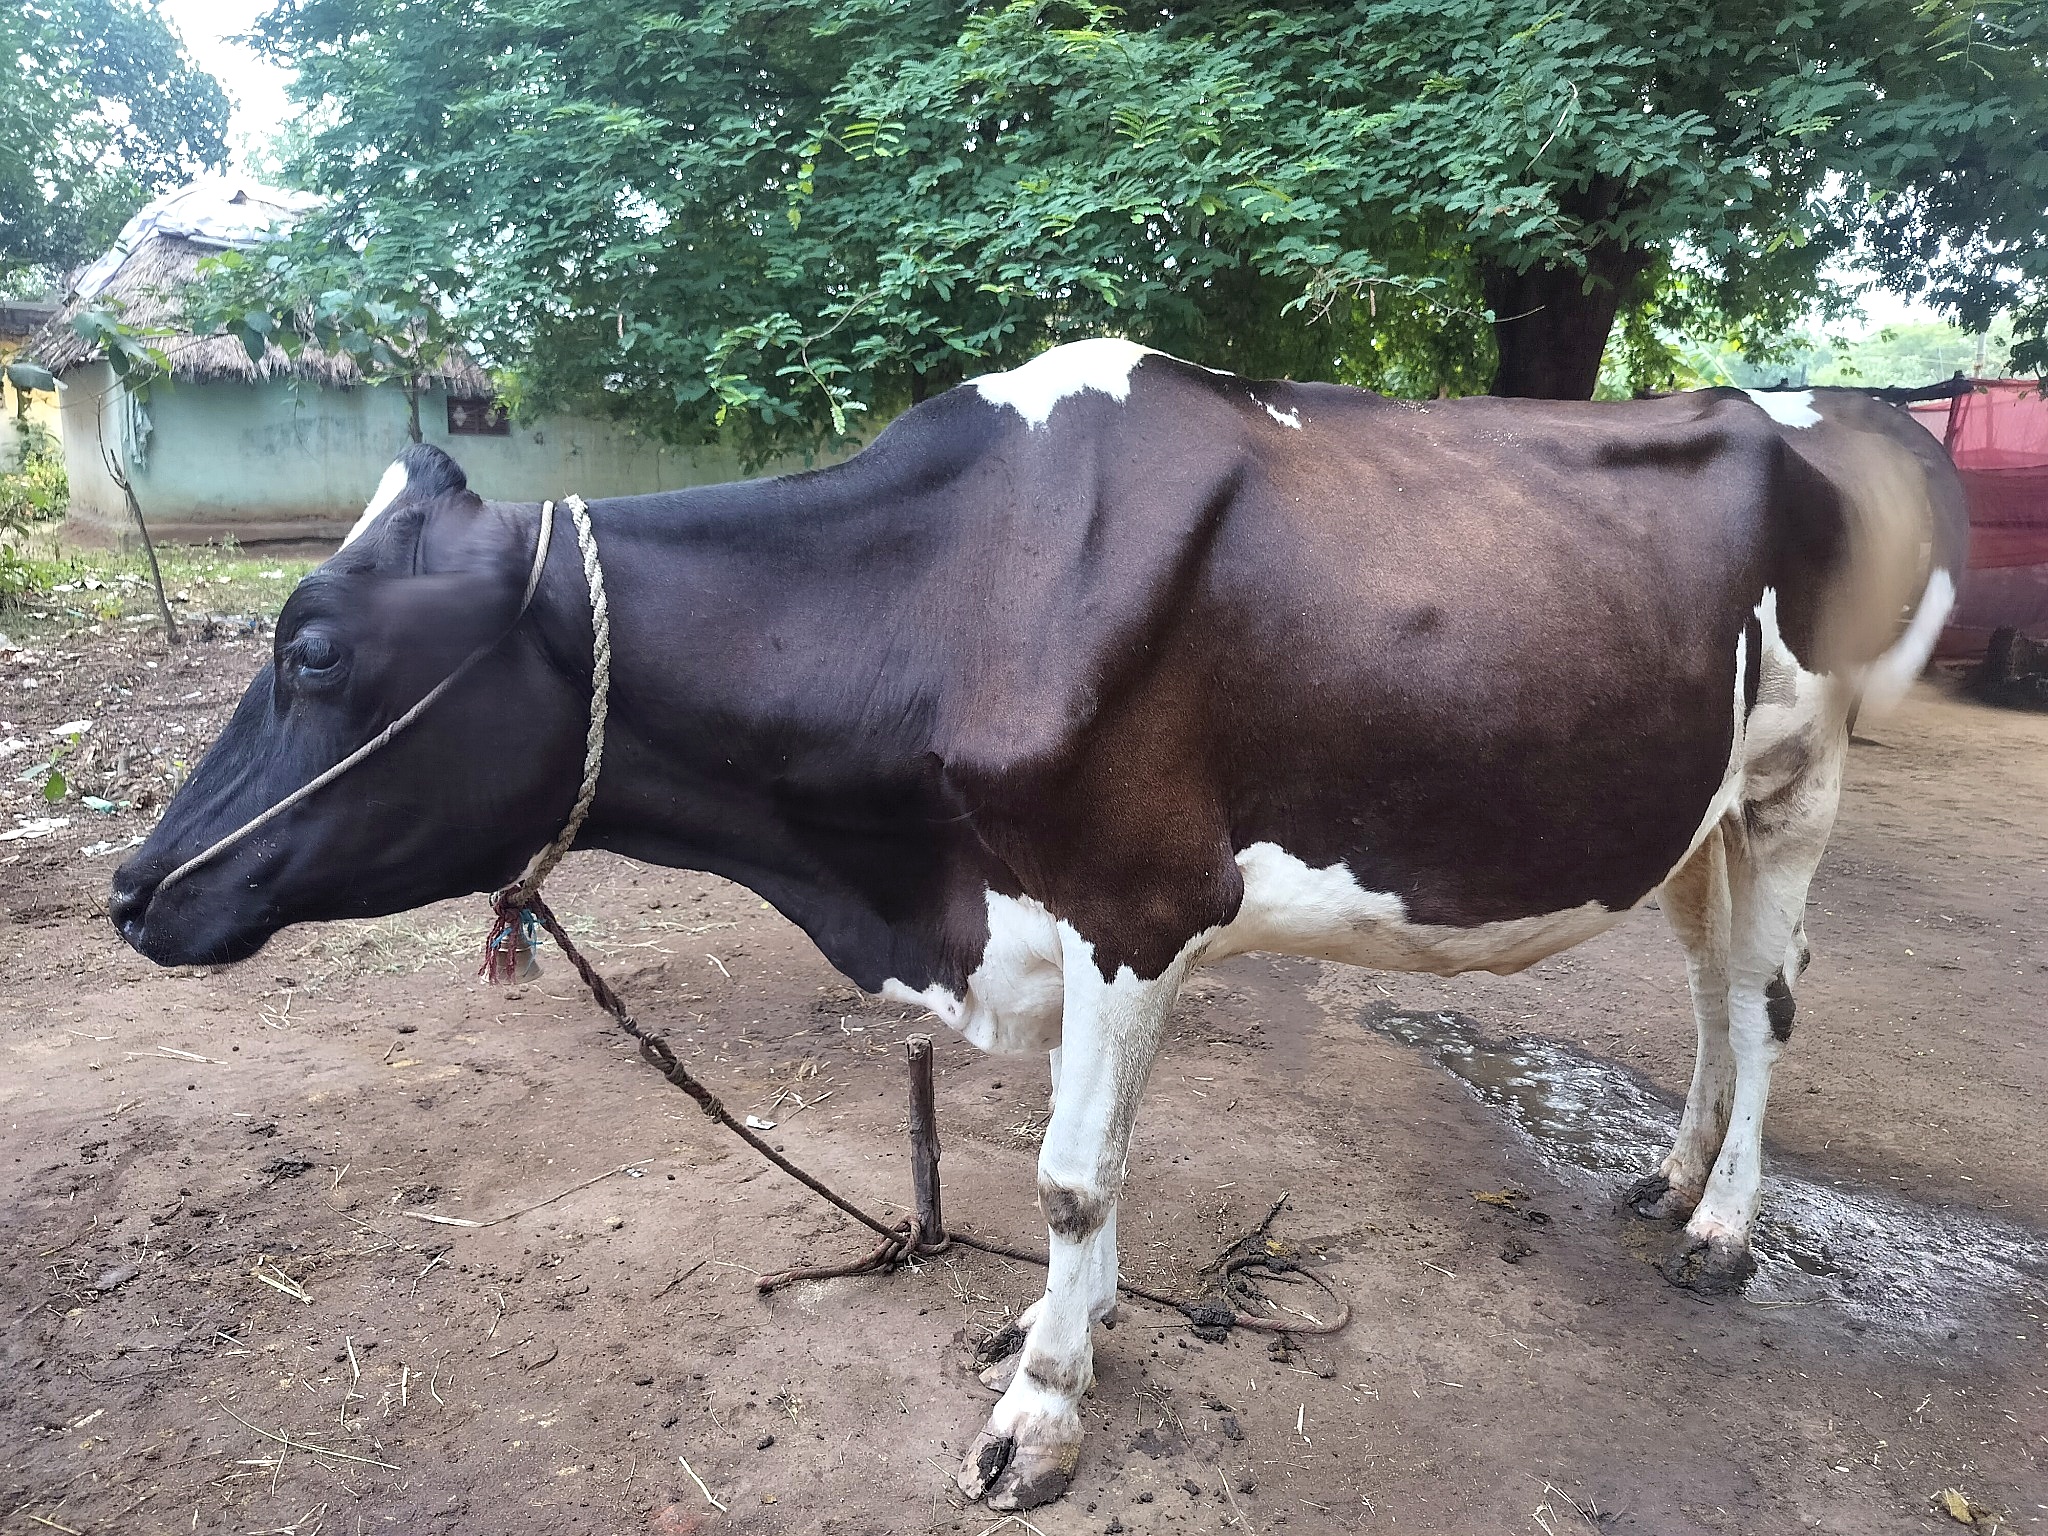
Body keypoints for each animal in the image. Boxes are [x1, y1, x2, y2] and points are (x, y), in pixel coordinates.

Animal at [109, 339, 1965, 1511]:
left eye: (314, 652)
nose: (135, 888)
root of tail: (1824, 412)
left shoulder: (1136, 898)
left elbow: (1072, 1174)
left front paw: (1043, 1414)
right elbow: (1091, 1169)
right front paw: (1071, 1325)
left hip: (1797, 772)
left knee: (1769, 996)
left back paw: (1720, 1226)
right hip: (1686, 807)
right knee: (1711, 985)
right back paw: (1666, 1174)